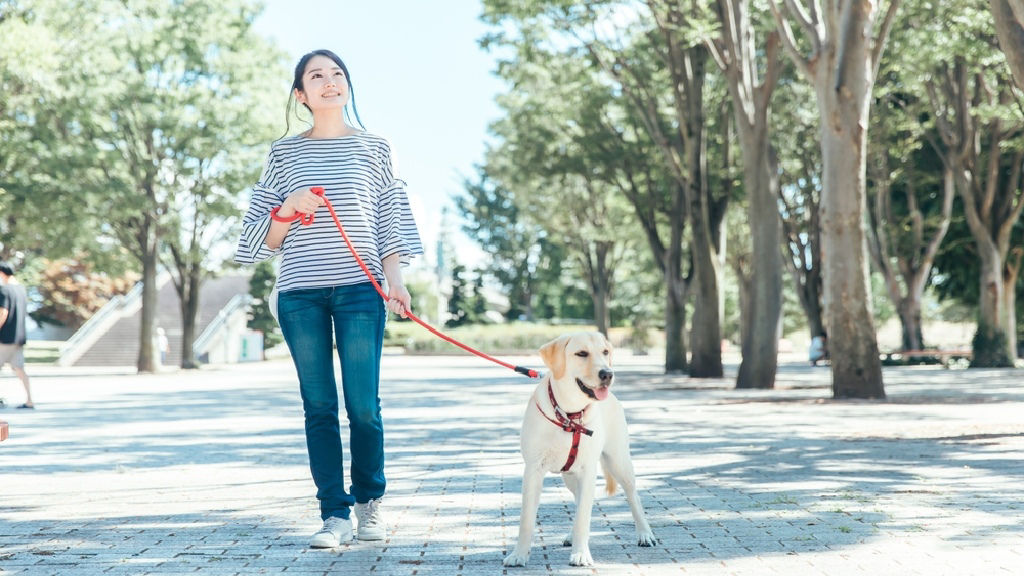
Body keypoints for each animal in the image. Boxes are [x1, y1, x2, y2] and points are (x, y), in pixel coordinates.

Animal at [503, 330, 655, 561]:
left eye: (605, 352)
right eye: (581, 353)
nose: (607, 374)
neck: (569, 415)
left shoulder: (588, 470)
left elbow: (584, 515)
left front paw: (581, 554)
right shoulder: (533, 469)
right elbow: (527, 518)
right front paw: (519, 555)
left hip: (619, 462)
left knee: (633, 497)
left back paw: (645, 534)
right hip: (570, 476)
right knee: (576, 500)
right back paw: (570, 535)